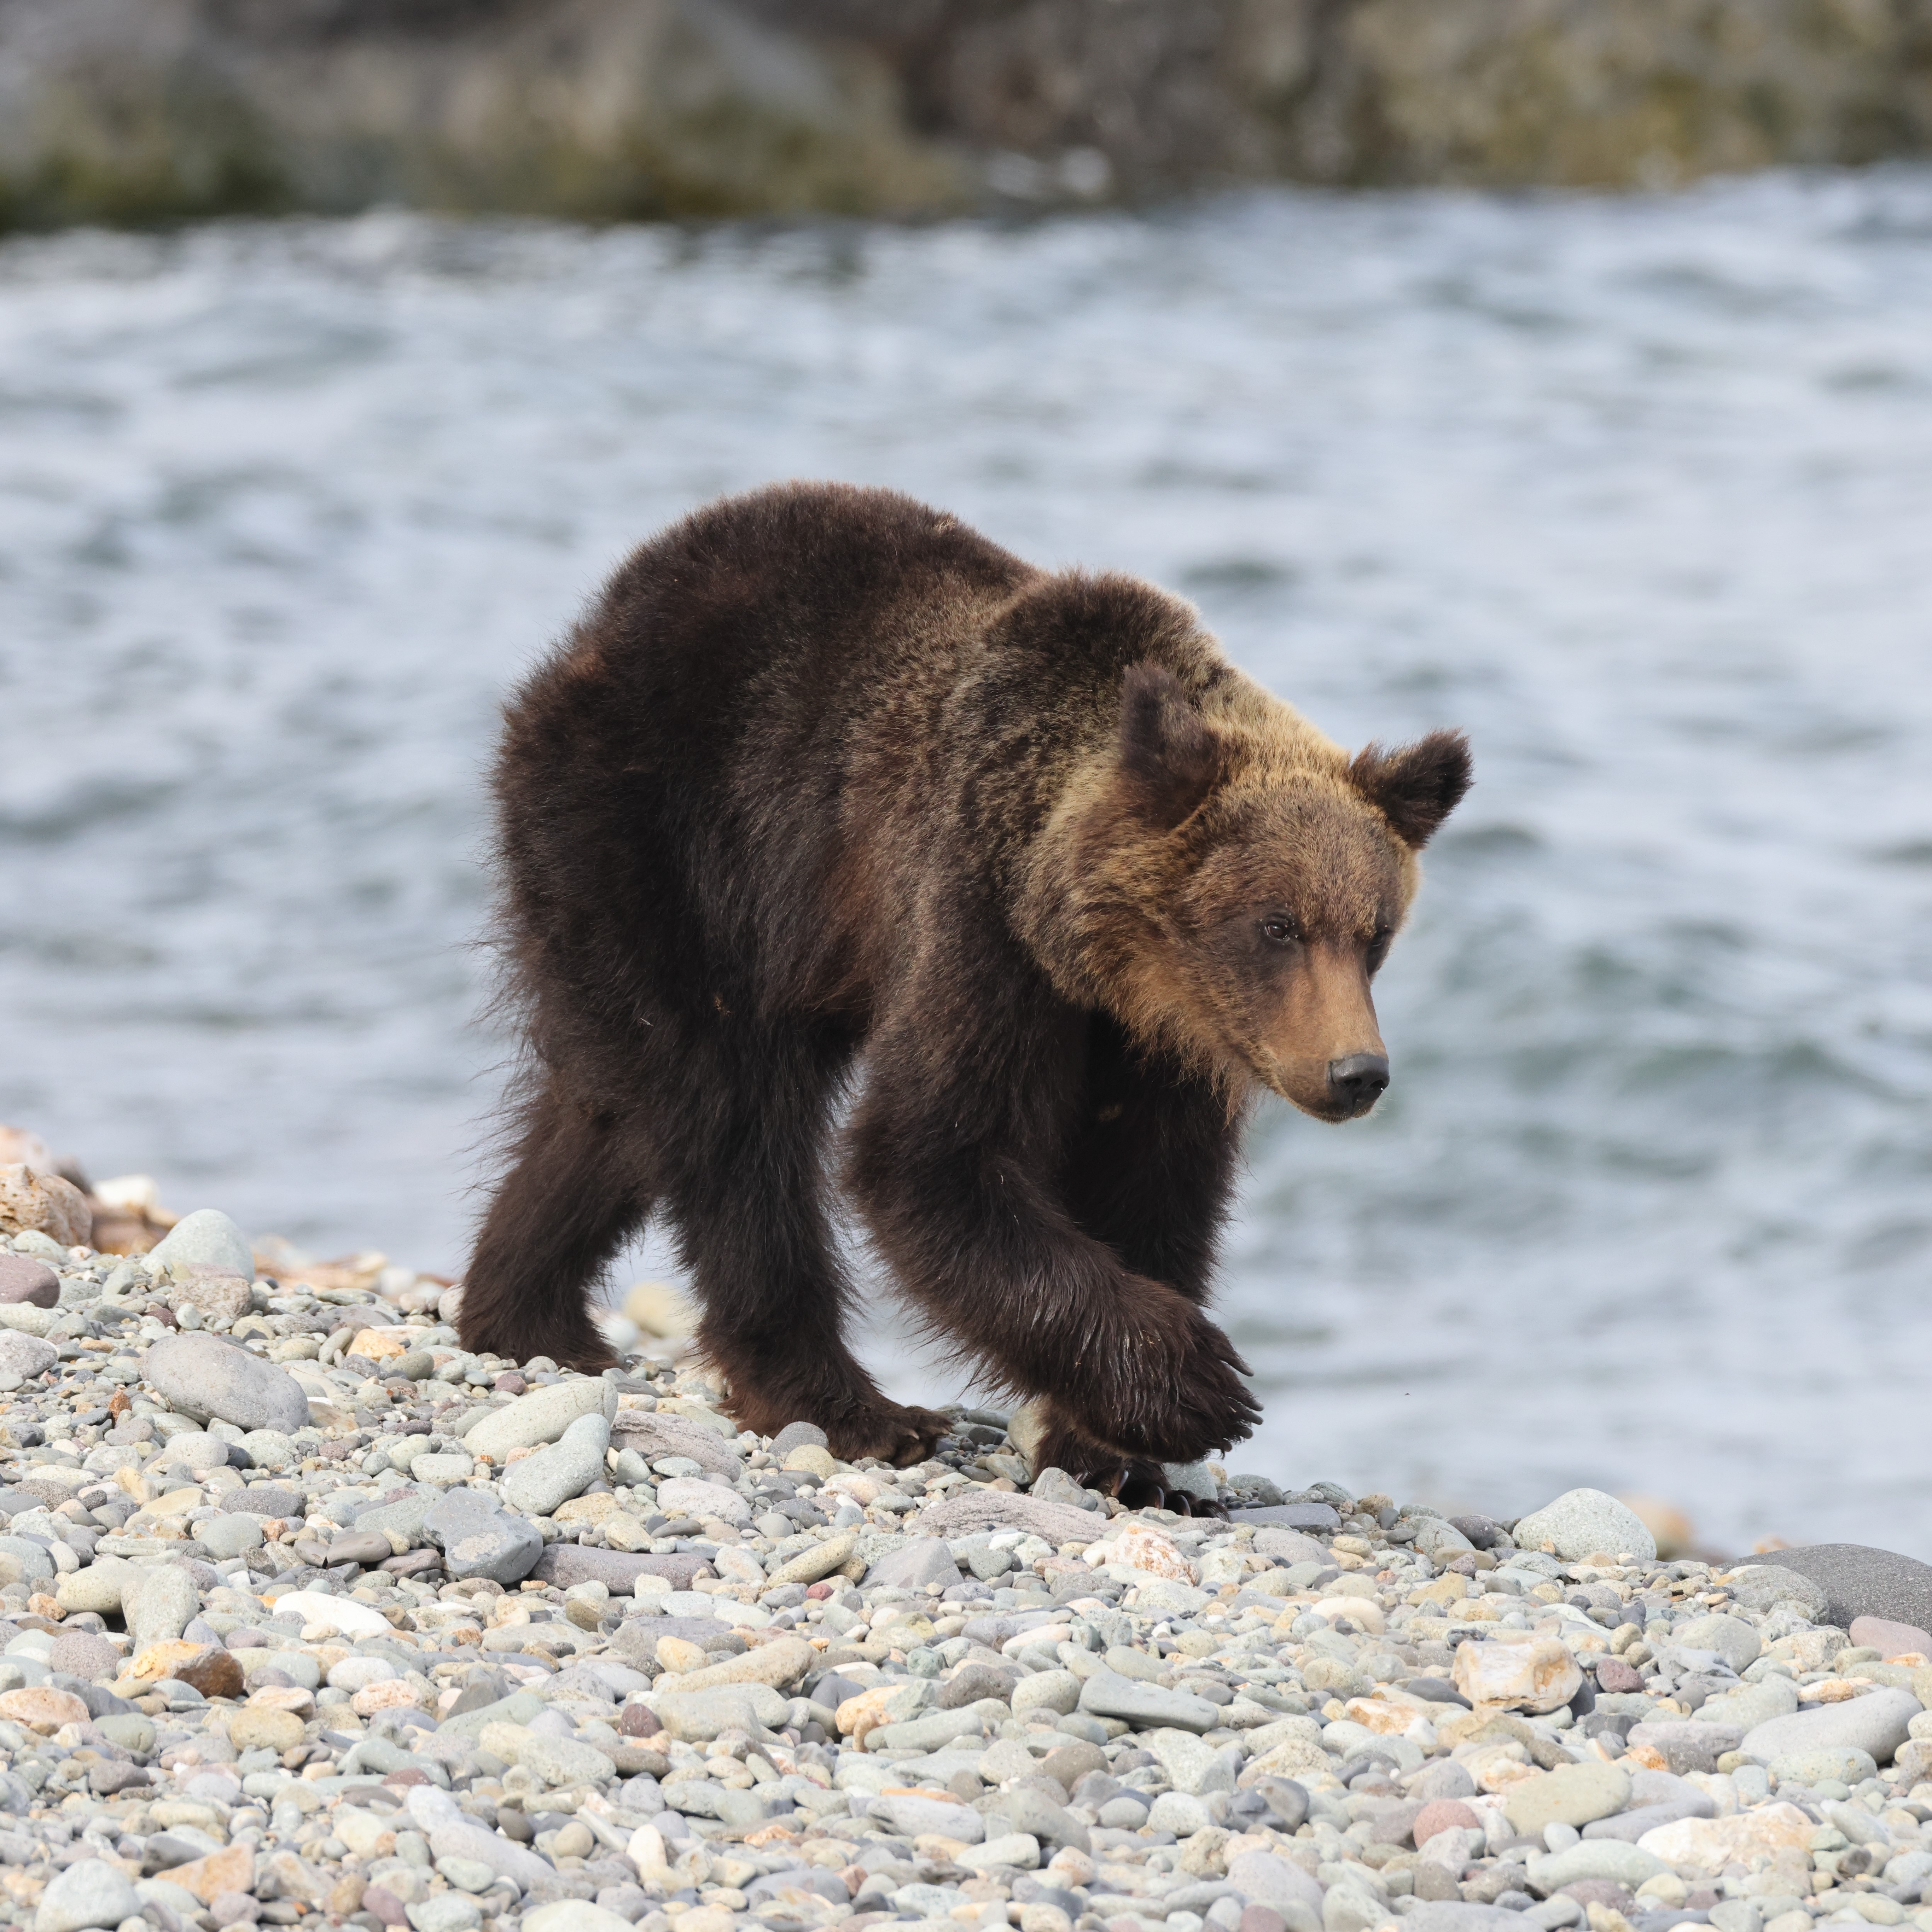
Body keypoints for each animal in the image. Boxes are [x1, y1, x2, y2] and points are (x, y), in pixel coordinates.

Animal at [463, 480, 1470, 1505]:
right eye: (1276, 924)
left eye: (1374, 931)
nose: (1356, 1071)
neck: (1101, 956)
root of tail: (598, 627)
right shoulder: (980, 929)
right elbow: (930, 1156)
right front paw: (1197, 1386)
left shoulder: (1161, 1039)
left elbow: (1156, 1186)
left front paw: (1116, 1450)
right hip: (675, 847)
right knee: (730, 1117)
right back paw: (845, 1403)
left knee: (614, 1108)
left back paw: (526, 1315)